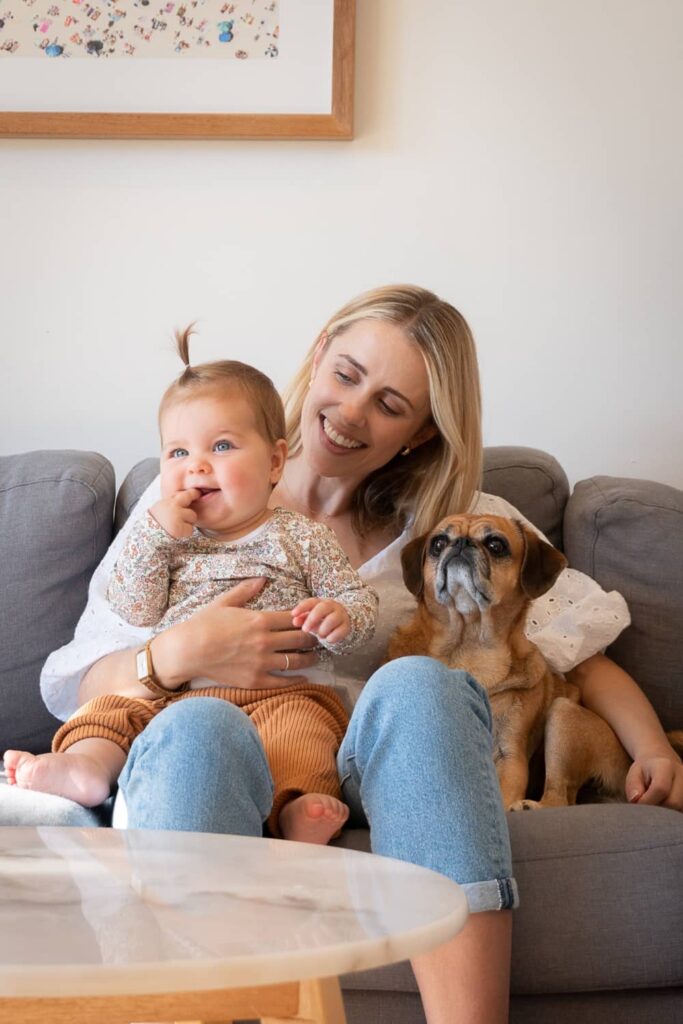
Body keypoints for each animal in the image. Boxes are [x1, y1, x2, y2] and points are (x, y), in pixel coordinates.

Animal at [387, 516, 679, 811]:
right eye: (438, 543)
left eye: (496, 545)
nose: (460, 543)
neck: (468, 647)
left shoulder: (509, 758)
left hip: (563, 716)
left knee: (559, 797)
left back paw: (528, 806)